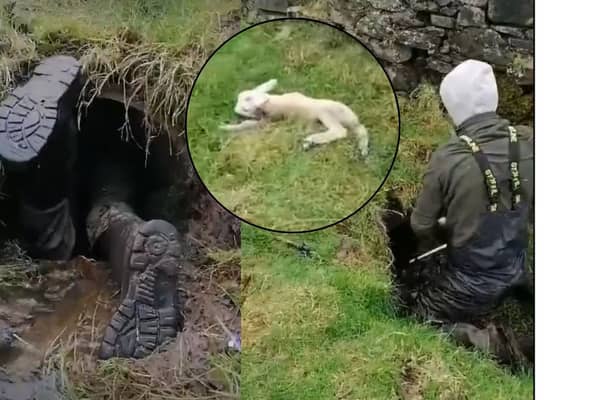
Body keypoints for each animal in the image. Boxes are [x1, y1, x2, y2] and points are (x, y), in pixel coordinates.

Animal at [219, 79, 370, 157]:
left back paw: (312, 139)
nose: (237, 114)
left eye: (245, 108)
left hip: (325, 112)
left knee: (341, 131)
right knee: (359, 130)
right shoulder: (265, 119)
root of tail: (353, 119)